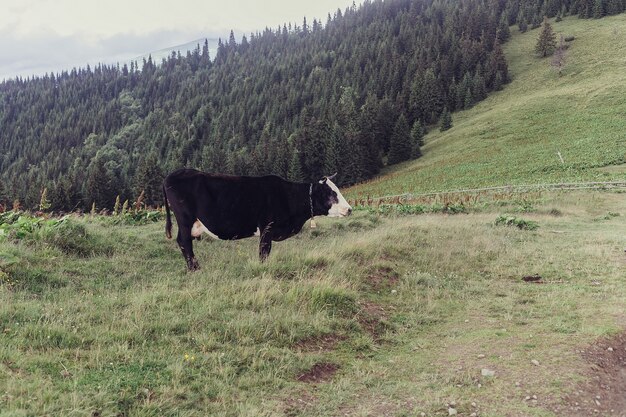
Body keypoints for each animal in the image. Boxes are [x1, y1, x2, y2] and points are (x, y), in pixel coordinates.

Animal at [161, 169, 352, 270]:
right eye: (331, 193)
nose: (349, 209)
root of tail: (173, 174)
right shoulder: (267, 228)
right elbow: (264, 251)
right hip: (185, 219)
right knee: (184, 241)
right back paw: (195, 268)